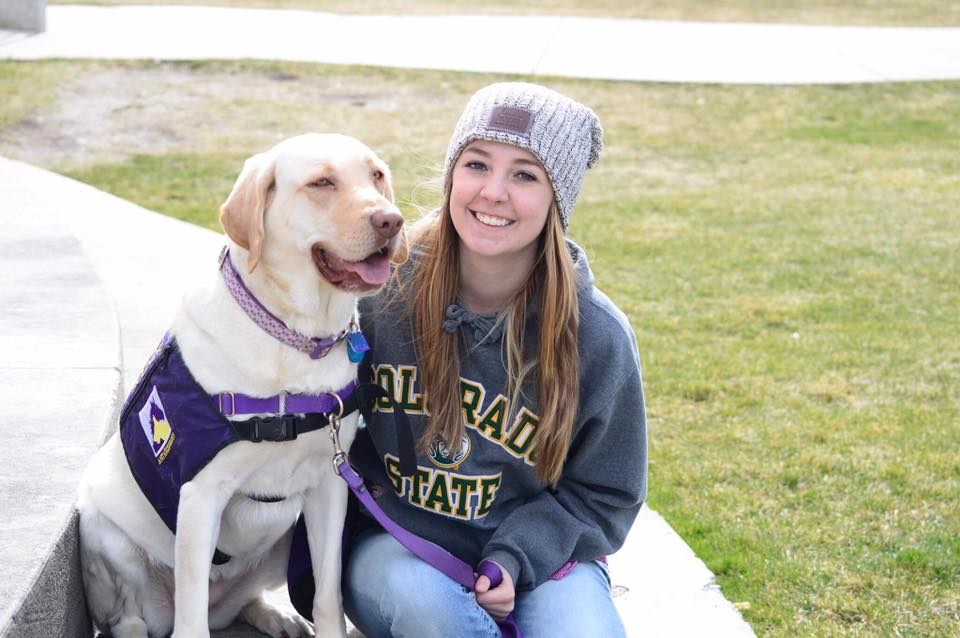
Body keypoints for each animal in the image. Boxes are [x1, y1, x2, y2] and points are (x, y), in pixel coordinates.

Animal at [77, 135, 404, 638]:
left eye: (377, 176)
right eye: (322, 183)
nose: (391, 220)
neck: (295, 339)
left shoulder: (330, 486)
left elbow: (328, 593)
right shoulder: (201, 495)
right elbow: (191, 618)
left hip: (282, 542)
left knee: (243, 602)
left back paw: (277, 616)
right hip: (103, 533)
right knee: (131, 619)